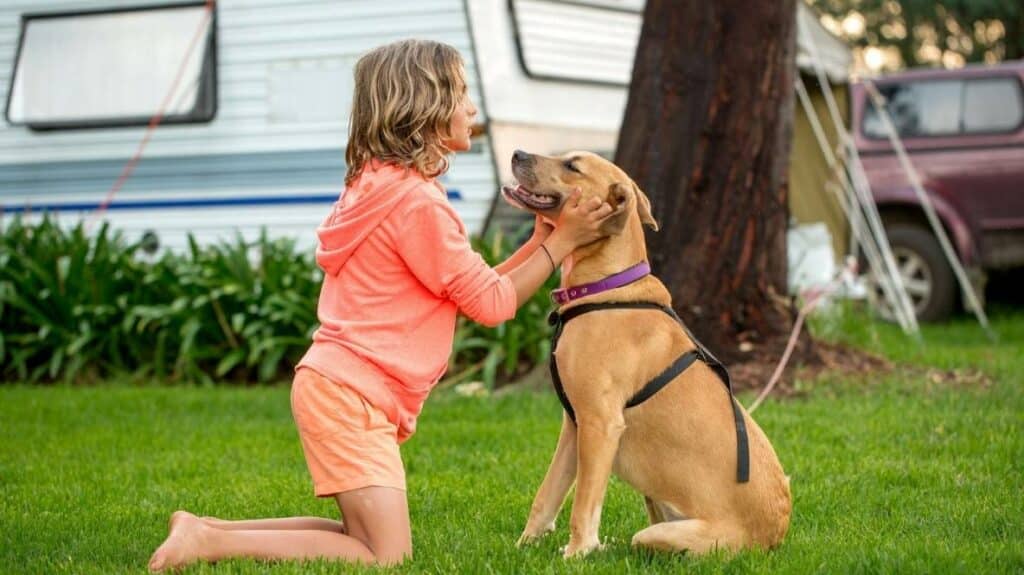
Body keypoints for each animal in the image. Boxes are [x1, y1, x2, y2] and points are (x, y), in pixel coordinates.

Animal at [503, 148, 790, 556]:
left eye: (573, 165)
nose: (517, 153)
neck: (606, 286)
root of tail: (772, 539)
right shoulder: (574, 425)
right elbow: (546, 495)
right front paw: (525, 546)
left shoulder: (600, 424)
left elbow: (583, 504)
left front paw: (577, 553)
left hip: (661, 534)